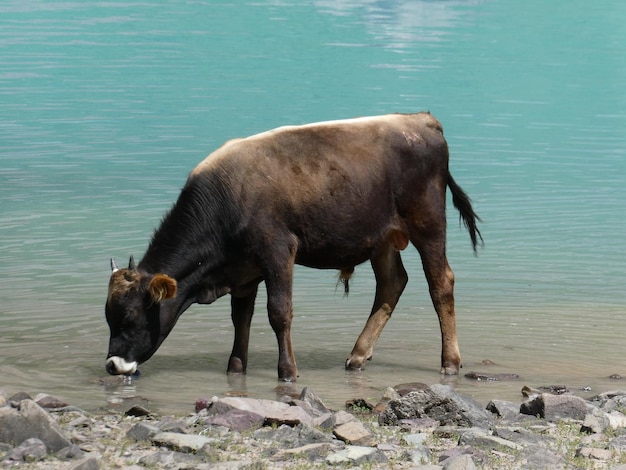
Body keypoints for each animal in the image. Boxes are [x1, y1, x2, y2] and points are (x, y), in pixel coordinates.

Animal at [105, 113, 480, 382]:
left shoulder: (278, 250)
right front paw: (236, 368)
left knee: (440, 283)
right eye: (108, 317)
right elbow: (240, 318)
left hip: (428, 224)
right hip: (382, 239)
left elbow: (279, 312)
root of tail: (419, 119)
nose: (111, 365)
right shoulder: (243, 270)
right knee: (392, 284)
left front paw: (287, 371)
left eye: (131, 317)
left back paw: (450, 361)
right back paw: (358, 356)